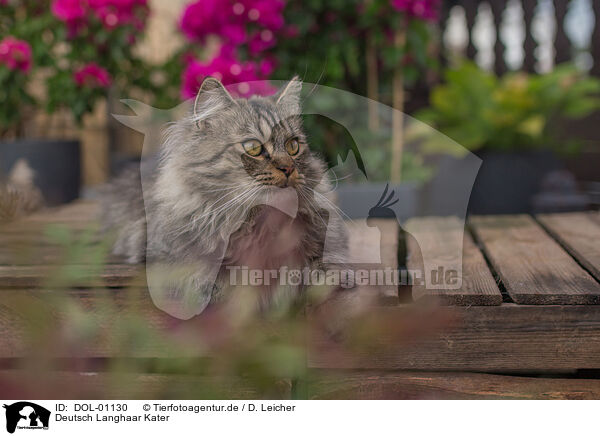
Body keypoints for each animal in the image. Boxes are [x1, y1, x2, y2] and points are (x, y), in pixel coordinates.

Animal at [99, 76, 352, 318]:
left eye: (293, 146)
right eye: (253, 148)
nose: (288, 169)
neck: (261, 222)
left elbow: (324, 262)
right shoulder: (161, 252)